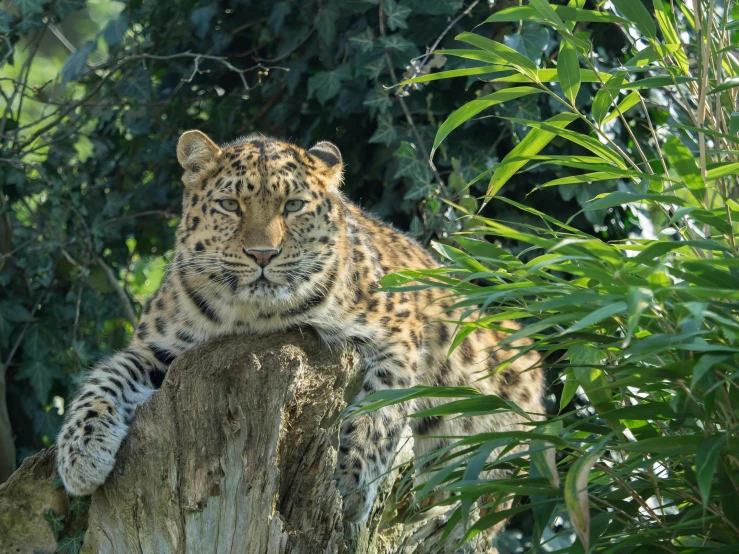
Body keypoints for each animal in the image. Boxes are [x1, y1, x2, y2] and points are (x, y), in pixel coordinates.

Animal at [56, 129, 544, 520]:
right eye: (230, 205)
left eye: (292, 206)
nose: (262, 254)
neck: (254, 316)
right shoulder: (159, 350)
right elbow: (105, 379)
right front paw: (80, 456)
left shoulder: (398, 329)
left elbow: (381, 409)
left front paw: (350, 484)